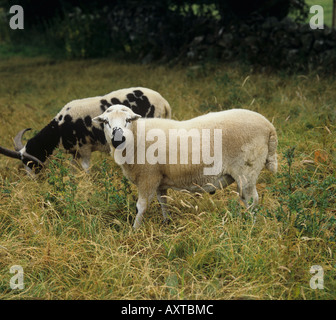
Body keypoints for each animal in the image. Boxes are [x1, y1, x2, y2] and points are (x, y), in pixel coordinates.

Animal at [0, 87, 171, 172]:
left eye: (31, 163)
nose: (35, 181)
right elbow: (73, 170)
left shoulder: (85, 149)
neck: (59, 129)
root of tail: (164, 102)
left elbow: (86, 170)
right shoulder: (75, 153)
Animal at [92, 105, 278, 230]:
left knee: (252, 200)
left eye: (128, 120)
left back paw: (251, 226)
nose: (117, 139)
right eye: (106, 122)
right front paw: (166, 222)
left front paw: (134, 230)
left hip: (247, 169)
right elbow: (163, 201)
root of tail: (269, 126)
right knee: (246, 199)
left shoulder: (148, 177)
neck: (136, 137)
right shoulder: (159, 178)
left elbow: (141, 206)